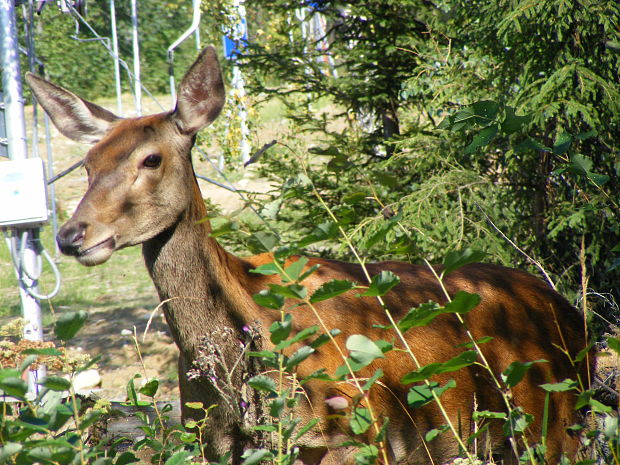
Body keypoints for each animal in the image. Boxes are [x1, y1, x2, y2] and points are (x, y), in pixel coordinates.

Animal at [27, 48, 592, 464]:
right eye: (88, 162)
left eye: (151, 159)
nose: (72, 235)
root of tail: (572, 313)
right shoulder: (213, 444)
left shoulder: (360, 434)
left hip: (555, 417)